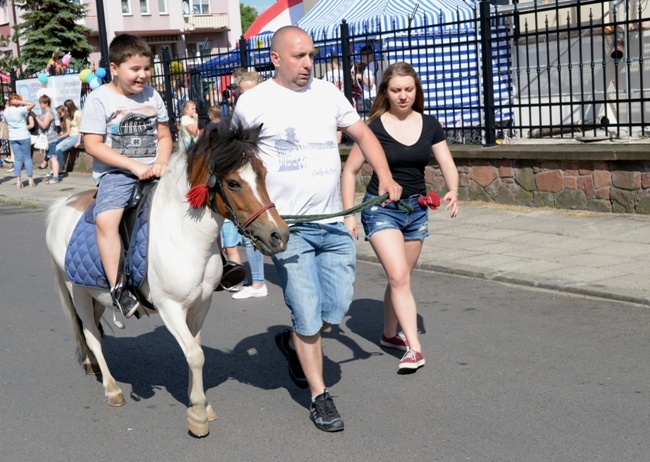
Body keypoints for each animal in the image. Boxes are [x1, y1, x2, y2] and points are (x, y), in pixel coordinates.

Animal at [44, 122, 288, 436]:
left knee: (91, 330)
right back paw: (112, 389)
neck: (184, 234)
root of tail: (62, 204)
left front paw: (201, 403)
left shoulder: (200, 305)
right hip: (78, 292)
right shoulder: (170, 308)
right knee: (91, 334)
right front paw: (197, 415)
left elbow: (195, 350)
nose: (279, 236)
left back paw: (91, 365)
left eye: (264, 174)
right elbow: (195, 355)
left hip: (96, 293)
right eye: (233, 183)